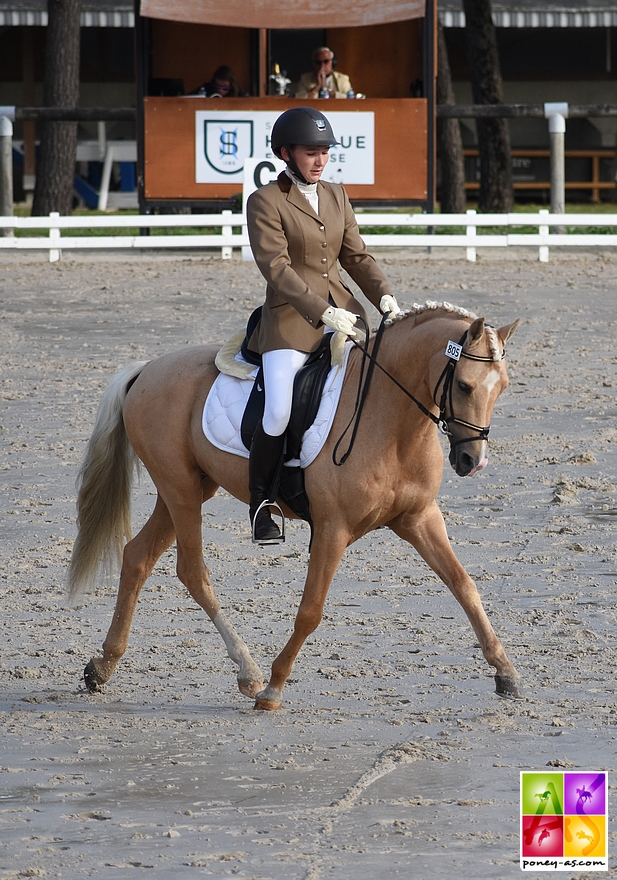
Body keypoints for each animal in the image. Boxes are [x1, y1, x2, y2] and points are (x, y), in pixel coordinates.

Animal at [67, 300, 520, 708]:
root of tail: (148, 368)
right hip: (180, 490)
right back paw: (248, 672)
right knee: (192, 572)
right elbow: (311, 611)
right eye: (464, 385)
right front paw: (273, 688)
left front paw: (506, 672)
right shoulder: (333, 529)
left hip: (187, 489)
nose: (473, 461)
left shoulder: (420, 518)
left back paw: (102, 667)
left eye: (502, 387)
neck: (390, 419)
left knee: (137, 556)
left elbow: (464, 585)